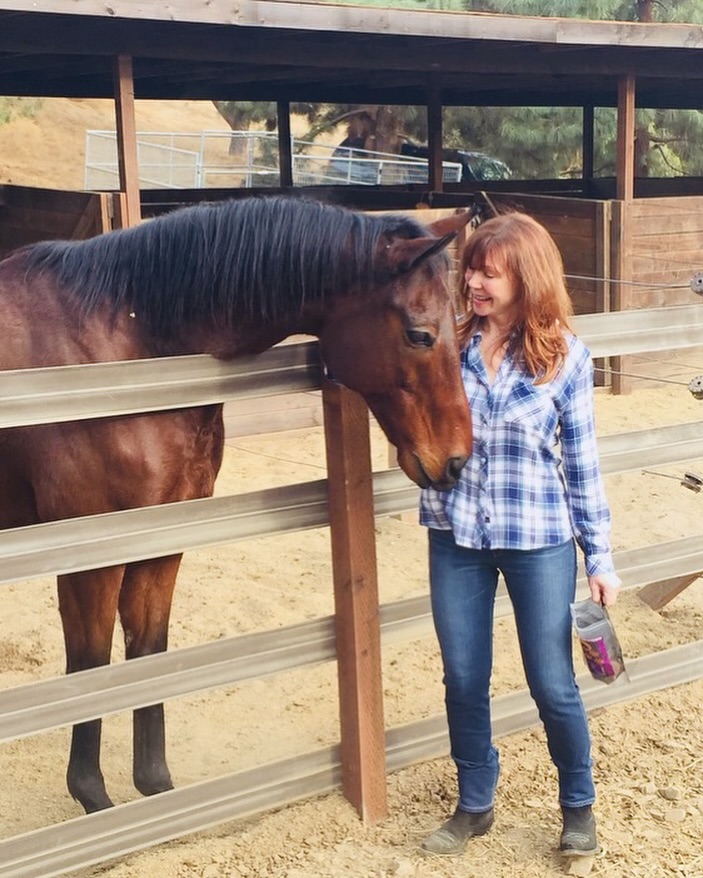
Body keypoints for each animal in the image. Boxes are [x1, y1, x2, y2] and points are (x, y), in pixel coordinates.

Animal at [0, 194, 472, 814]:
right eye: (420, 334)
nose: (459, 460)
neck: (126, 349)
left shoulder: (165, 536)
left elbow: (149, 652)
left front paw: (156, 790)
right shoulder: (90, 554)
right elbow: (91, 663)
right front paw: (94, 798)